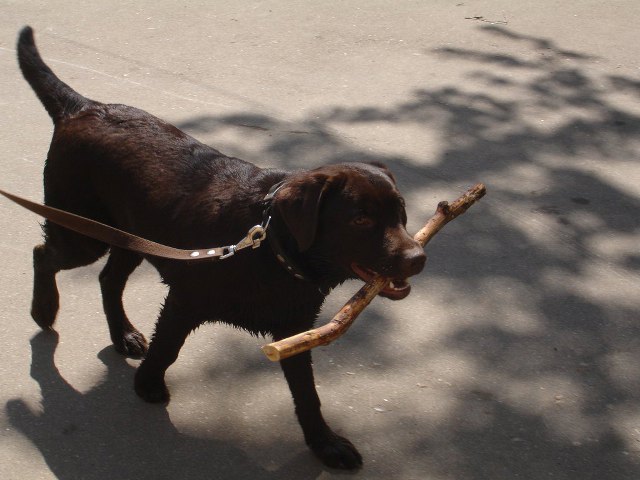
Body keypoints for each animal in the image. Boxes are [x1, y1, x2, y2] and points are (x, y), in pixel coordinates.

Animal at [16, 27, 424, 468]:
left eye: (400, 212)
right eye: (361, 219)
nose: (418, 258)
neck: (270, 249)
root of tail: (84, 107)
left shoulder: (295, 331)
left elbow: (307, 395)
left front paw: (324, 443)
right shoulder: (184, 302)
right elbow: (168, 348)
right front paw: (148, 384)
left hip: (130, 237)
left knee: (108, 278)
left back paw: (122, 334)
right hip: (83, 235)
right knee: (45, 255)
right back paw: (44, 309)